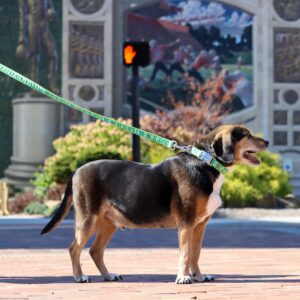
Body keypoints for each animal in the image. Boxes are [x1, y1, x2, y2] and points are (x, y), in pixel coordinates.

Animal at [41, 124, 268, 284]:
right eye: (246, 134)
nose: (266, 141)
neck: (205, 161)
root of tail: (76, 171)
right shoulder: (186, 223)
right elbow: (186, 253)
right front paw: (183, 277)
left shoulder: (199, 226)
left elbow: (195, 254)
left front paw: (198, 276)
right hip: (88, 220)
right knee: (74, 248)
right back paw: (79, 276)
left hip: (108, 224)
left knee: (94, 251)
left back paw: (107, 275)